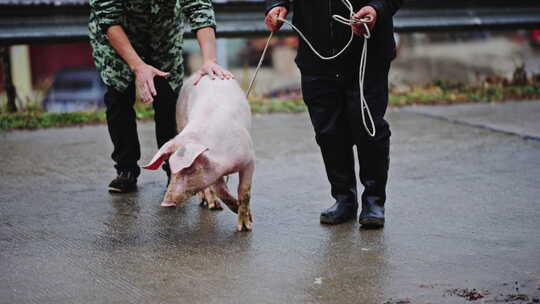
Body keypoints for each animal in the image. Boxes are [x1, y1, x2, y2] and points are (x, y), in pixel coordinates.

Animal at [142, 75, 254, 230]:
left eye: (189, 169)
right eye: (171, 170)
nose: (165, 203)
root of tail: (195, 75)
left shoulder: (249, 159)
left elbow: (244, 192)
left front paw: (246, 226)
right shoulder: (214, 172)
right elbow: (221, 192)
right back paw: (212, 205)